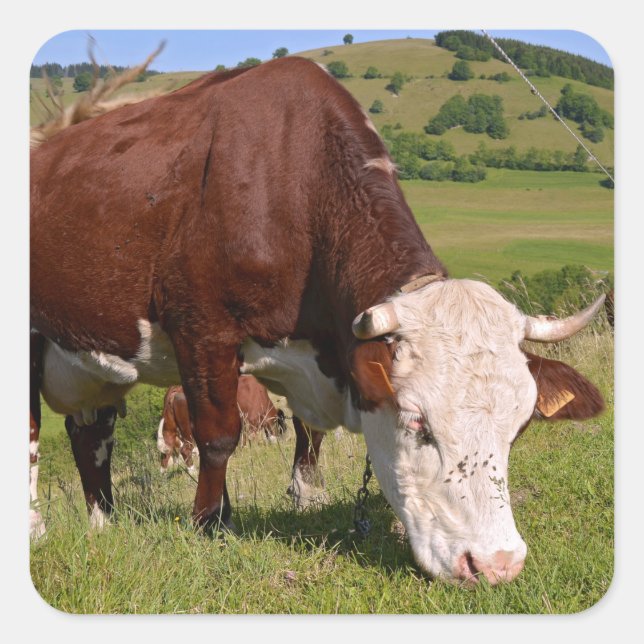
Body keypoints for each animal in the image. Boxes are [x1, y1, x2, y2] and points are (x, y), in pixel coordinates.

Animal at [157, 376, 286, 472]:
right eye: (282, 428)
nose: (283, 442)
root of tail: (176, 389)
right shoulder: (251, 421)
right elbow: (250, 439)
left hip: (169, 428)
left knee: (165, 454)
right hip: (188, 430)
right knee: (185, 450)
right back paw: (193, 472)